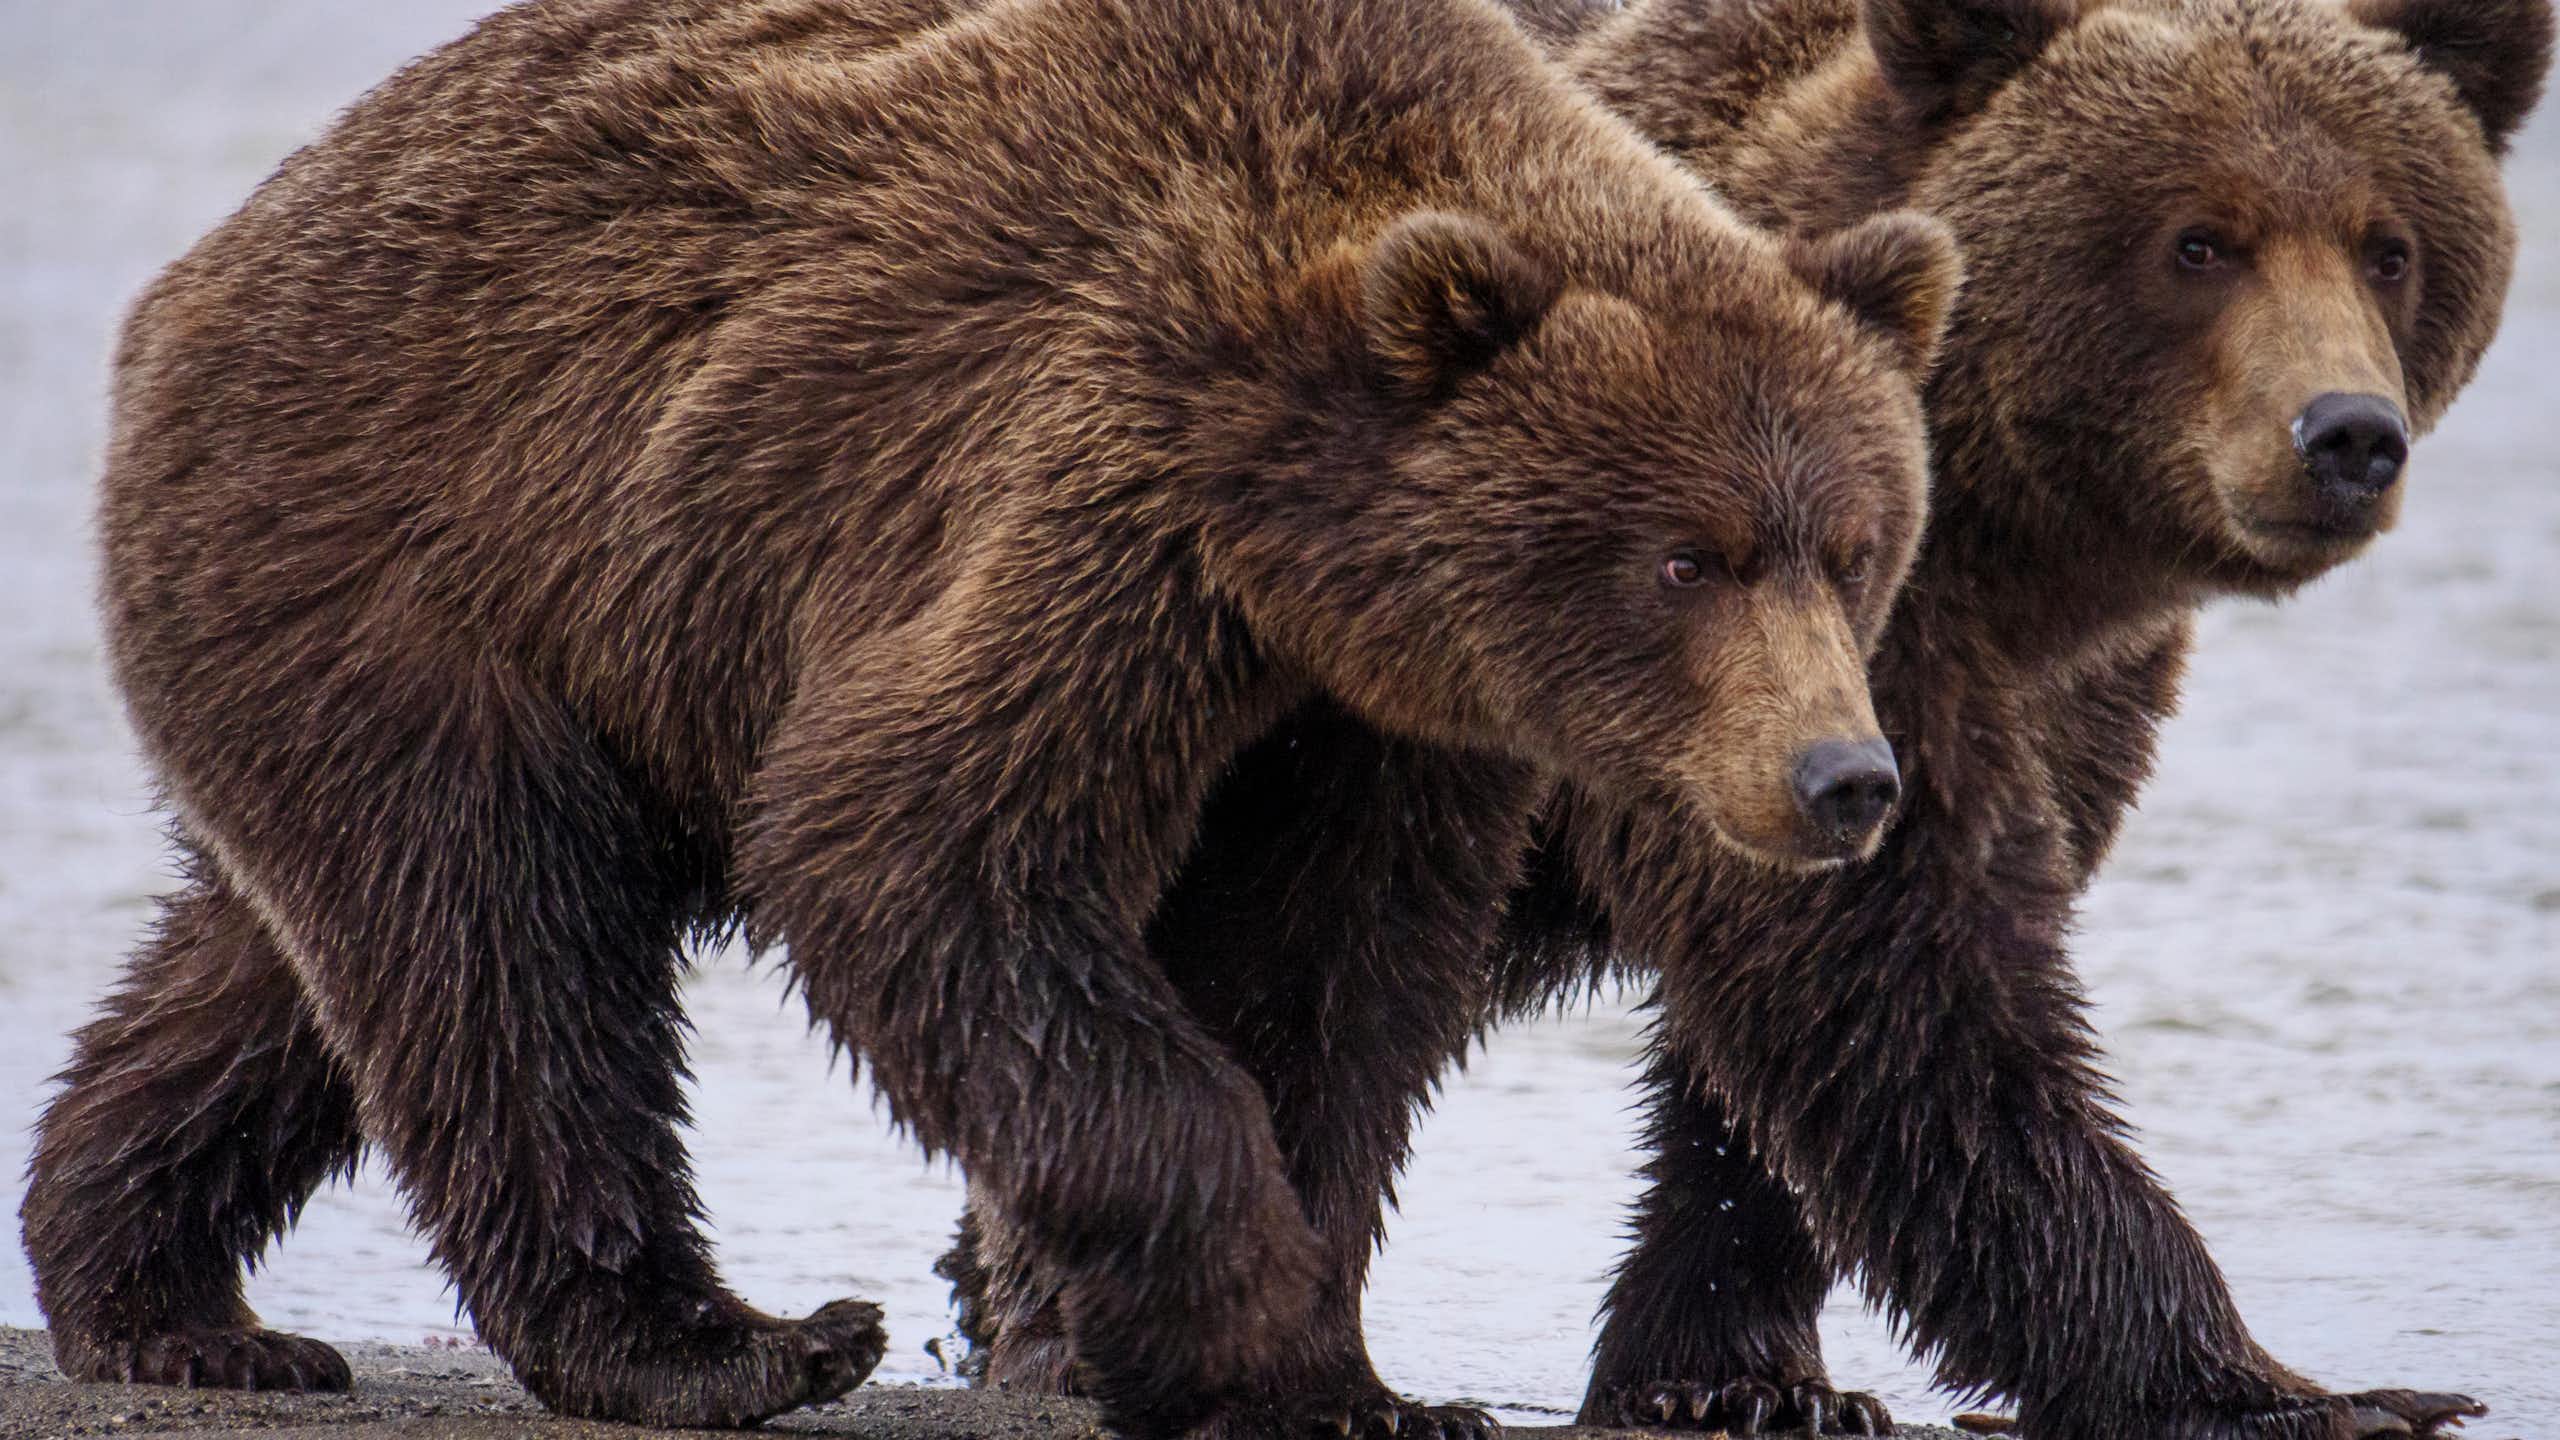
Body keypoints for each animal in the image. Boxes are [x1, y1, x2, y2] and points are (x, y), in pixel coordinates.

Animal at [15, 0, 1967, 1434]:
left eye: (1856, 542)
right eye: (1685, 556)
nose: (1844, 778)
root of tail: (199, 272)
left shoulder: (1378, 719)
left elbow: (1336, 978)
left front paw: (1345, 1366)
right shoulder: (1083, 480)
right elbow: (914, 844)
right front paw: (1262, 1332)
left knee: (289, 971)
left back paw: (166, 1298)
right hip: (427, 553)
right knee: (502, 943)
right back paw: (735, 1340)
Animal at [940, 0, 2552, 1436]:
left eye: (2391, 244)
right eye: (2198, 240)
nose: (2345, 435)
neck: (2008, 540)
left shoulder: (2021, 685)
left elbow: (1818, 1028)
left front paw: (1738, 1374)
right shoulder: (1781, 653)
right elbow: (1908, 997)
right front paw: (2301, 1388)